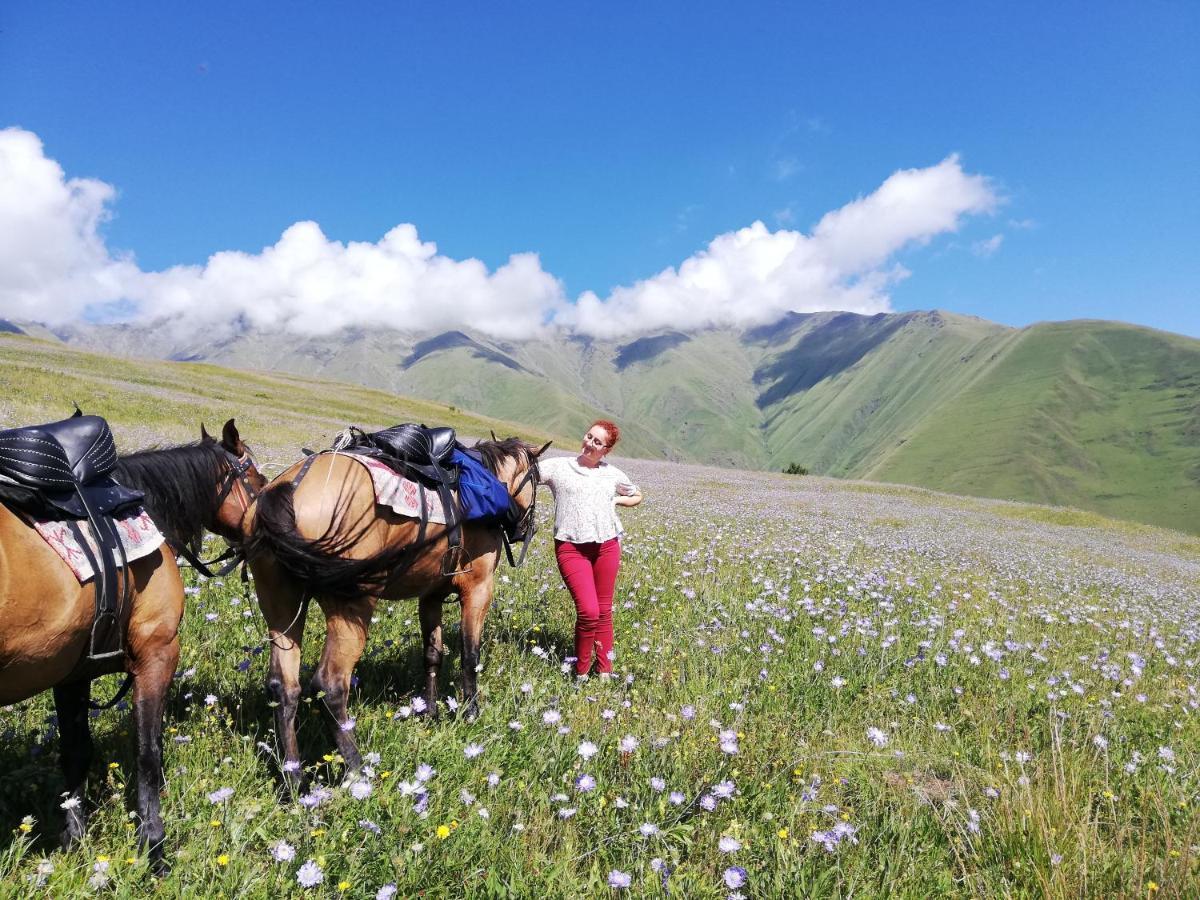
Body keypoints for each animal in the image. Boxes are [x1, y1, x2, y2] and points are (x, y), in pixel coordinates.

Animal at [0, 422, 264, 873]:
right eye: (259, 483)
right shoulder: (158, 654)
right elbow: (148, 753)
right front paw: (154, 847)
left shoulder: (72, 670)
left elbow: (76, 752)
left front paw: (75, 839)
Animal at [243, 441, 544, 787]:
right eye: (537, 480)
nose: (526, 528)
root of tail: (291, 487)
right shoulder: (479, 589)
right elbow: (470, 655)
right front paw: (471, 713)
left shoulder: (430, 597)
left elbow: (432, 655)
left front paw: (430, 712)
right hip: (352, 608)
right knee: (330, 685)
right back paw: (358, 770)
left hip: (281, 606)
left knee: (284, 687)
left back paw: (293, 779)